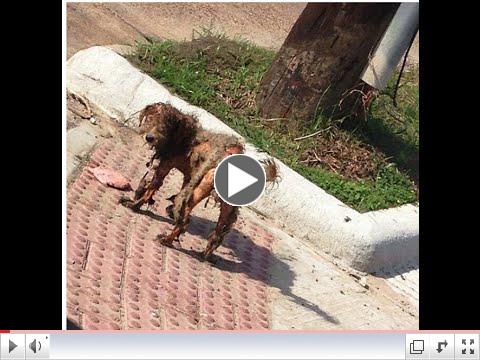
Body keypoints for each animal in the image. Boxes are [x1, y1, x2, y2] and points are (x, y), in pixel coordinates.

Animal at [120, 103, 280, 258]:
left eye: (166, 125)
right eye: (150, 118)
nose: (149, 137)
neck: (185, 138)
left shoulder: (166, 165)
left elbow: (151, 189)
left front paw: (134, 205)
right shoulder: (189, 178)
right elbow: (179, 195)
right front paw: (171, 208)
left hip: (201, 190)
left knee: (185, 219)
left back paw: (167, 239)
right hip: (228, 205)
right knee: (218, 232)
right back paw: (204, 254)